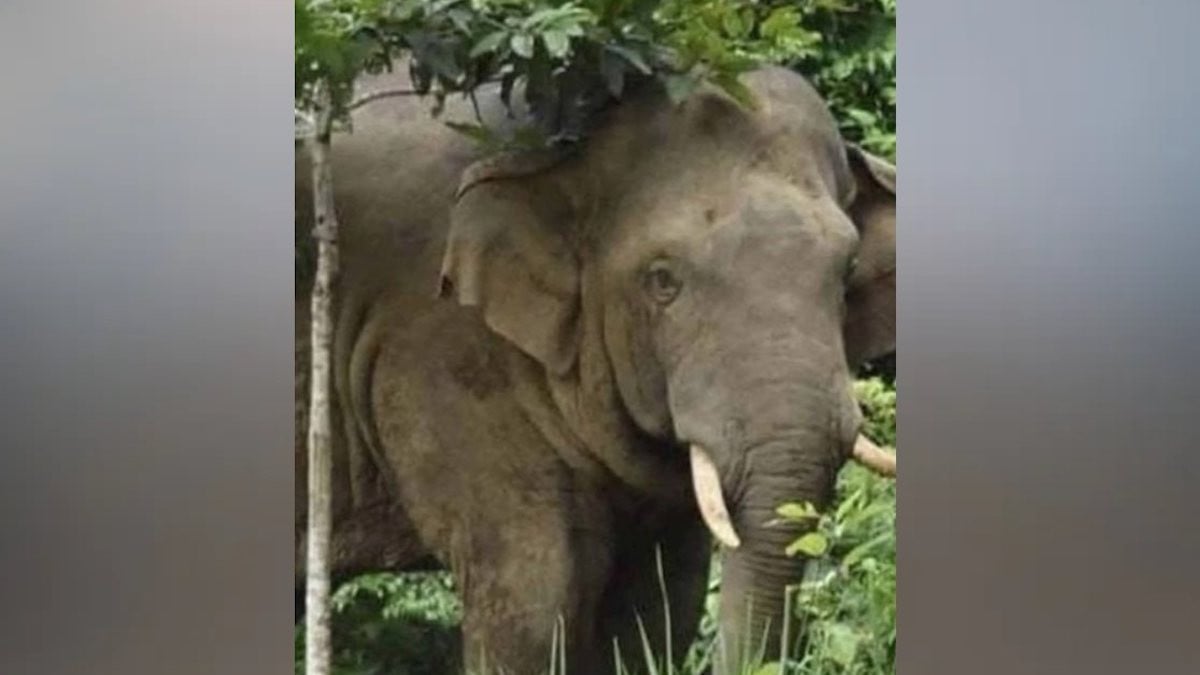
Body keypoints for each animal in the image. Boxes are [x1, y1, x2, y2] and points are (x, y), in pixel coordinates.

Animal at [295, 64, 896, 675]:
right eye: (662, 281)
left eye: (848, 271)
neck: (566, 147)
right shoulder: (435, 354)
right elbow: (532, 595)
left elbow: (661, 602)